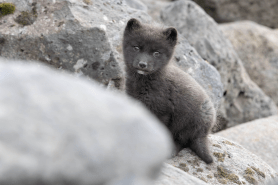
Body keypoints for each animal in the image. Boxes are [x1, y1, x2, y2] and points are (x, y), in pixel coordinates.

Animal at [122, 18, 216, 163]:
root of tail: (204, 132)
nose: (142, 64)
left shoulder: (163, 111)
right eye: (136, 47)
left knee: (182, 141)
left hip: (187, 123)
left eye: (156, 53)